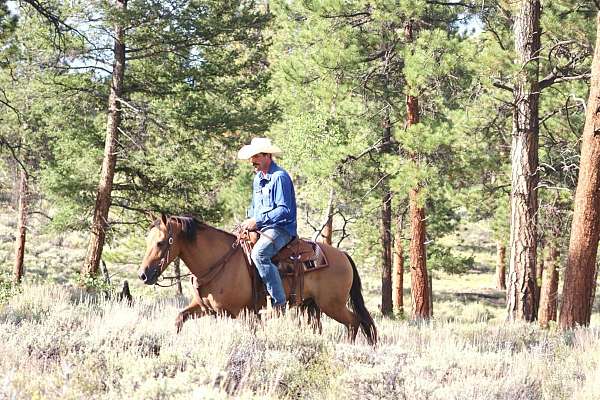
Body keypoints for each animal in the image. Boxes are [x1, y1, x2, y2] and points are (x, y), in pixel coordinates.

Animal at [138, 214, 378, 346]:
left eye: (161, 242)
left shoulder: (237, 313)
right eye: (147, 240)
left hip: (332, 305)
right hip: (312, 307)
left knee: (354, 322)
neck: (218, 261)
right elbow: (179, 318)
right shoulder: (204, 308)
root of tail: (343, 255)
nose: (143, 274)